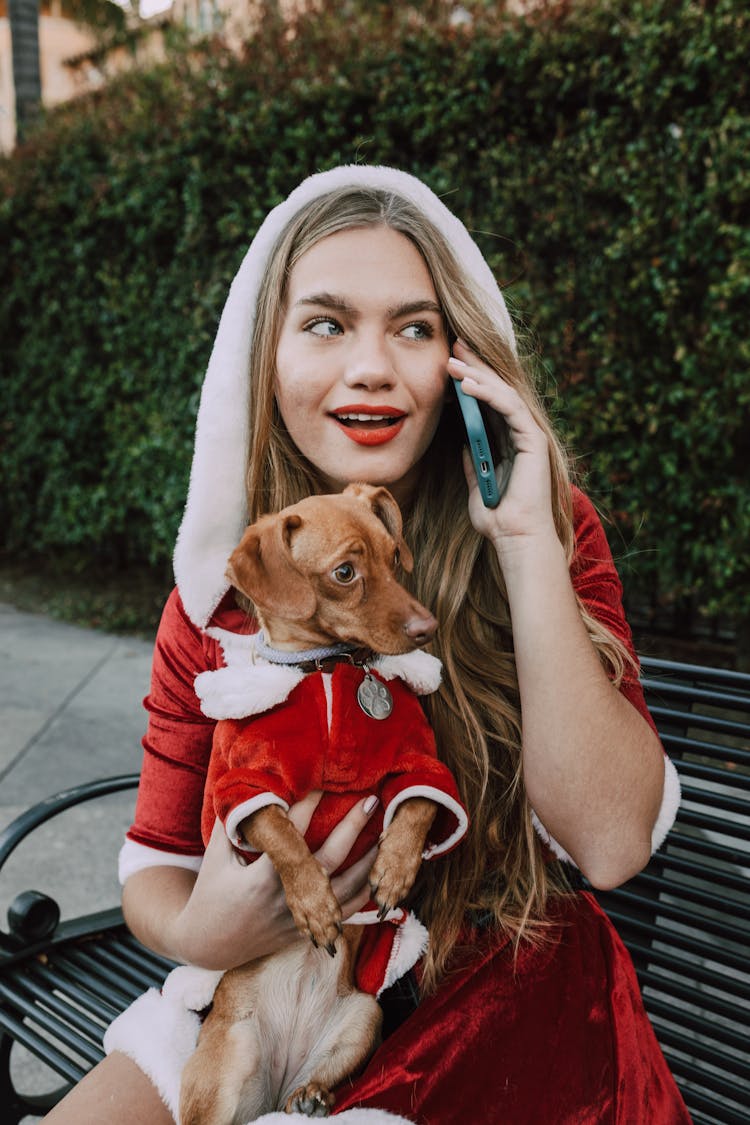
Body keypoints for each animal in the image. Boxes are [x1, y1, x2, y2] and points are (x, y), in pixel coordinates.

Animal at [179, 483, 465, 1125]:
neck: (327, 670)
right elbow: (281, 832)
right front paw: (313, 901)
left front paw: (395, 869)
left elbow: (419, 804)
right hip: (228, 1061)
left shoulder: (415, 762)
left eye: (393, 555)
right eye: (344, 573)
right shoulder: (243, 786)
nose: (428, 626)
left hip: (365, 1016)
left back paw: (312, 1094)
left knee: (311, 1083)